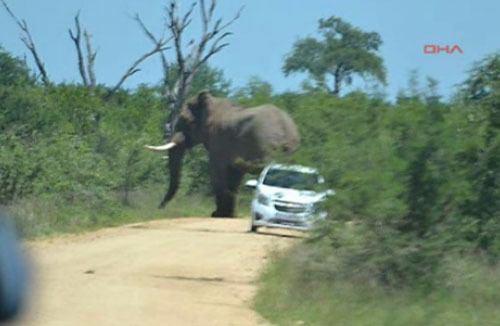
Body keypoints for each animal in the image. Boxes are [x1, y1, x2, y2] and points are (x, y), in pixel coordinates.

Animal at [146, 90, 298, 218]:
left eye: (185, 121)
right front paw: (228, 215)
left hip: (267, 145)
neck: (212, 103)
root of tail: (287, 128)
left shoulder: (218, 141)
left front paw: (217, 215)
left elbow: (216, 173)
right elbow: (234, 176)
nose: (159, 208)